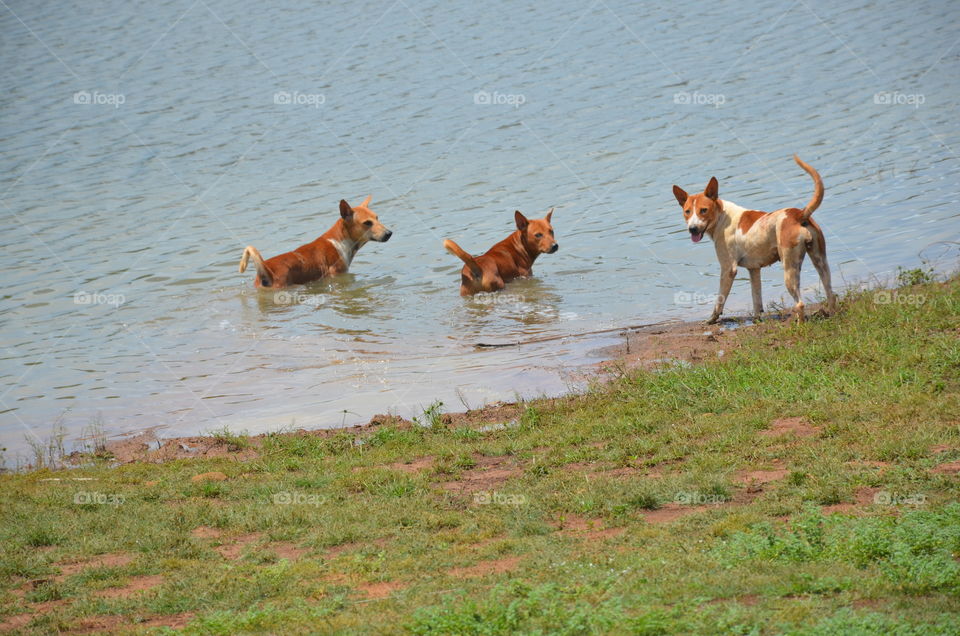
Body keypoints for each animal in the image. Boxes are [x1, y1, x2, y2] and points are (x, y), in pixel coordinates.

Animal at [672, 155, 836, 322]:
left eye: (703, 210)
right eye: (687, 211)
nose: (692, 228)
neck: (722, 216)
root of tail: (798, 214)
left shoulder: (728, 269)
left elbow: (720, 300)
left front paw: (711, 320)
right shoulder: (754, 269)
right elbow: (756, 299)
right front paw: (756, 319)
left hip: (790, 268)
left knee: (800, 304)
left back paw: (800, 324)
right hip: (820, 261)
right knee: (831, 294)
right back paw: (832, 316)